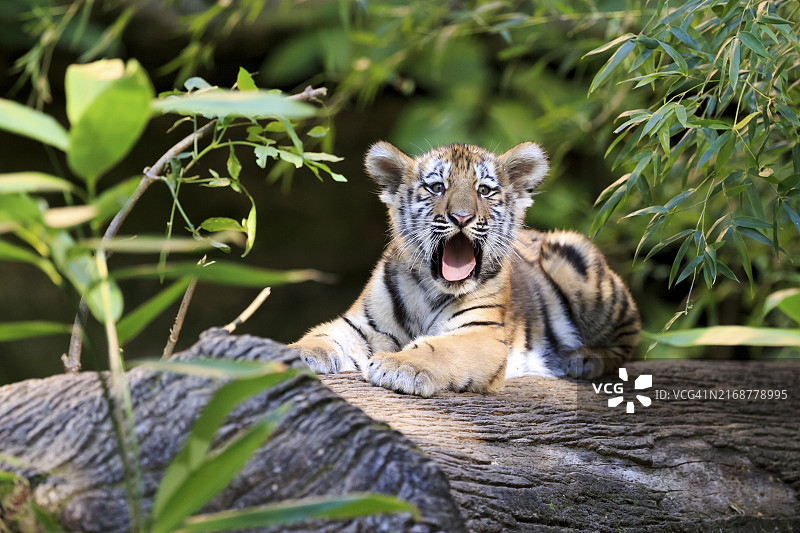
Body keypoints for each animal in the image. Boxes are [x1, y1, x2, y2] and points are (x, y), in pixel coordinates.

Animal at [291, 141, 640, 397]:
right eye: (437, 188)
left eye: (484, 190)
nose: (461, 217)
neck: (430, 288)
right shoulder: (364, 325)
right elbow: (325, 334)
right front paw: (293, 353)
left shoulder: (478, 333)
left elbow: (436, 348)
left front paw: (399, 366)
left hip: (572, 257)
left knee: (628, 340)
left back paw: (584, 358)